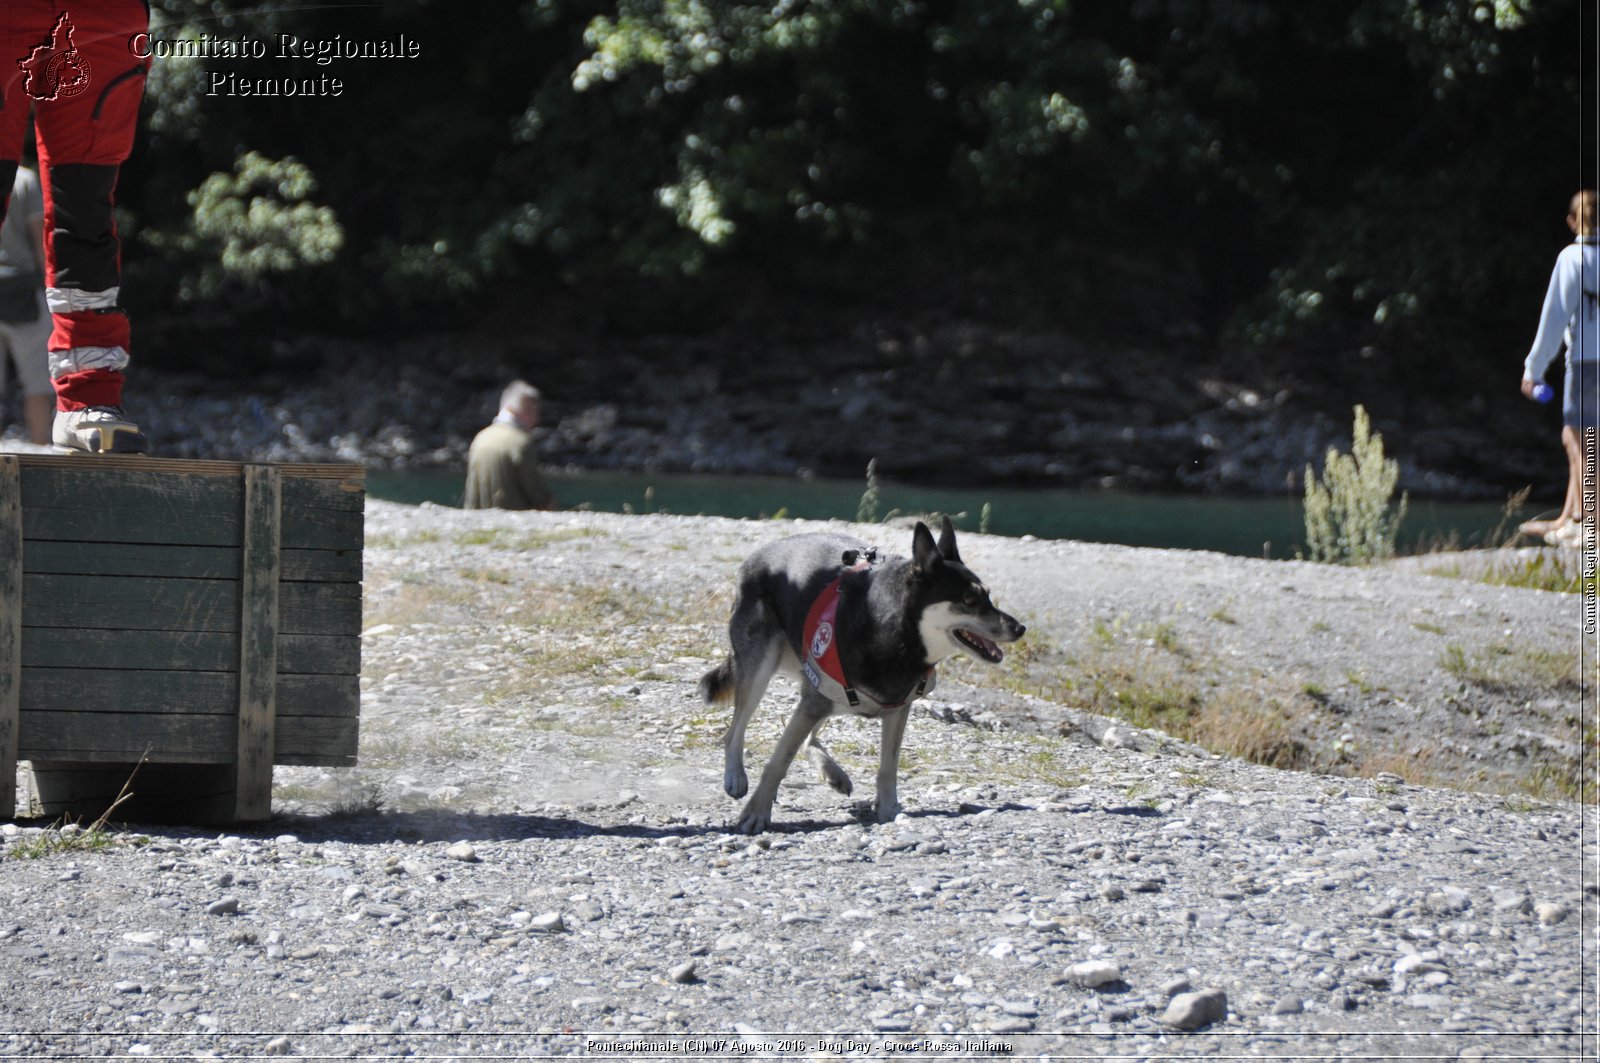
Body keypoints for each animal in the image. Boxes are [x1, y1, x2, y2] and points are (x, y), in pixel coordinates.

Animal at [697, 512, 1024, 832]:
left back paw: (832, 772)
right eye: (968, 600)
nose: (1020, 628)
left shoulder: (896, 711)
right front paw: (756, 812)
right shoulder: (814, 700)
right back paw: (736, 776)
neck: (896, 636)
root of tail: (760, 554)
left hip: (818, 689)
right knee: (735, 731)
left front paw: (889, 811)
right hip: (761, 669)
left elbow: (888, 768)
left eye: (988, 596)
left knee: (807, 737)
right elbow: (777, 762)